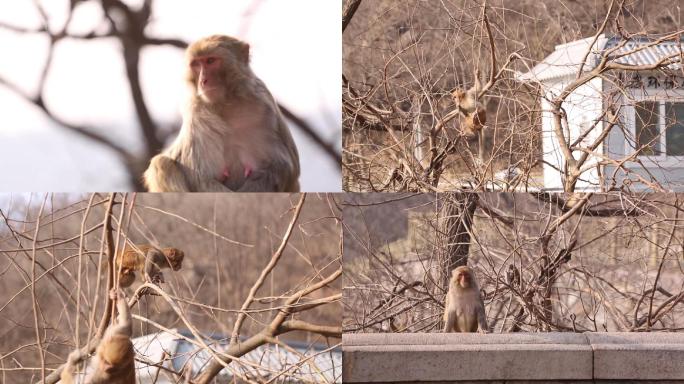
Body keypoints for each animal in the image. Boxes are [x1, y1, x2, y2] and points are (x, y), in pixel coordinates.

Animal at [144, 33, 300, 192]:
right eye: (196, 64)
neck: (227, 105)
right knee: (161, 163)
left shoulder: (265, 109)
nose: (203, 81)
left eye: (210, 61)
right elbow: (200, 177)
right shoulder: (197, 115)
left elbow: (282, 167)